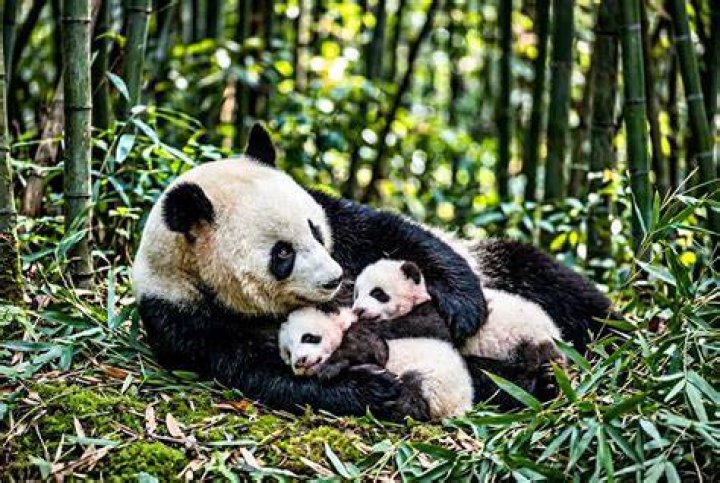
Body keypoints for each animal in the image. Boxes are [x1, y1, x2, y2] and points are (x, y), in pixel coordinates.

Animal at [278, 307, 473, 421]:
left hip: (437, 380)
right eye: (288, 353)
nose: (299, 362)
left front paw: (330, 369)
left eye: (308, 337)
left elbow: (369, 349)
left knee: (414, 391)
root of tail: (464, 402)